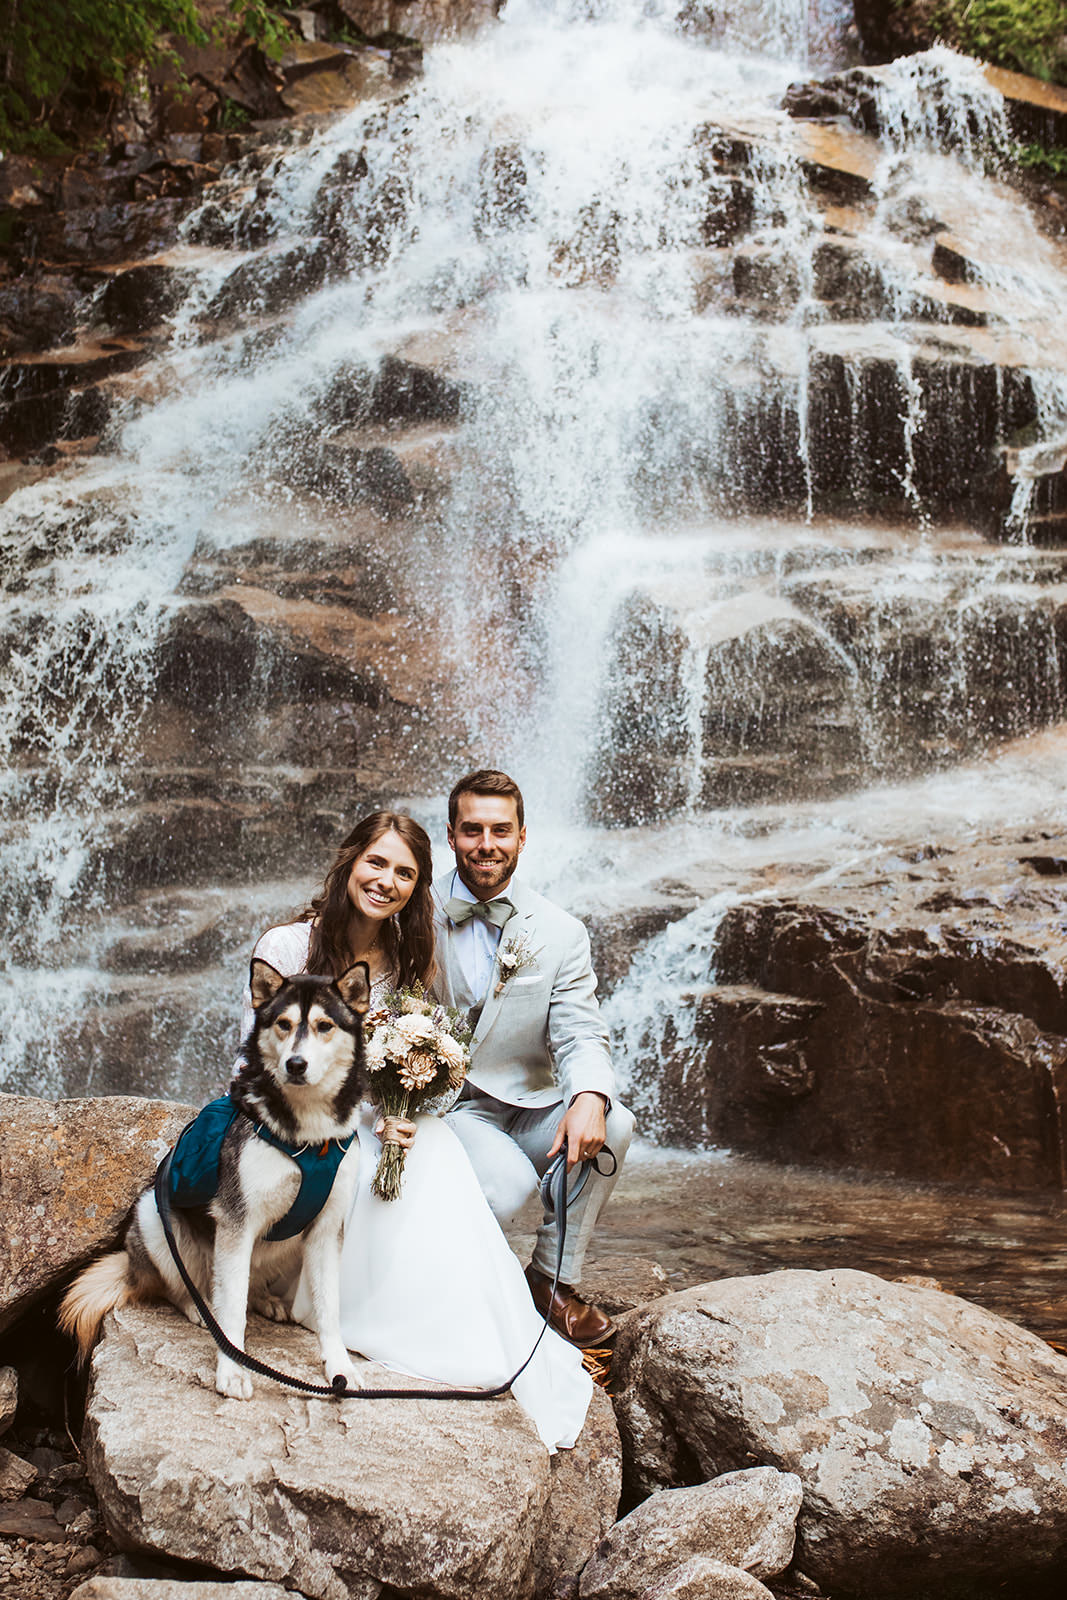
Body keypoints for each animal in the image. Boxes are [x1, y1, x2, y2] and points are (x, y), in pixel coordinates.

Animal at [62, 960, 374, 1401]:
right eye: (283, 1023)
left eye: (324, 1025)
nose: (295, 1064)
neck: (307, 1137)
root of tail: (134, 1265)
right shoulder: (236, 1222)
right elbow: (231, 1311)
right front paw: (232, 1369)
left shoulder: (327, 1229)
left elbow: (329, 1310)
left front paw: (340, 1368)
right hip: (154, 1217)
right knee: (184, 1287)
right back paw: (200, 1306)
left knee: (247, 1281)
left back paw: (263, 1298)